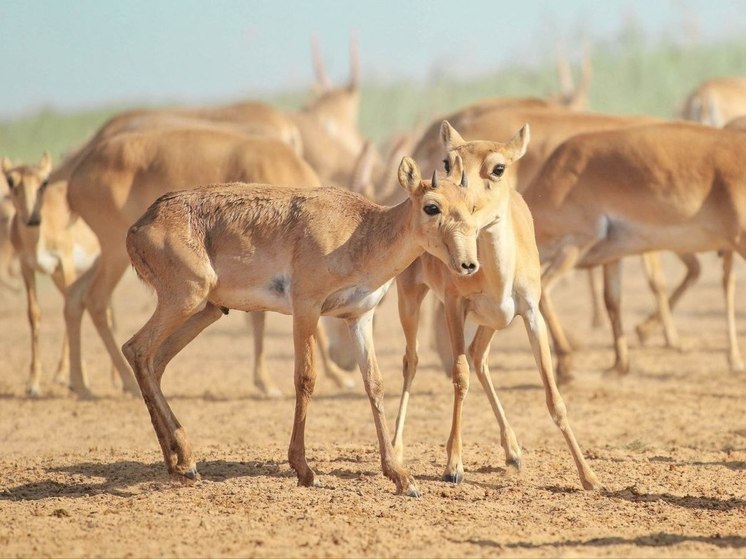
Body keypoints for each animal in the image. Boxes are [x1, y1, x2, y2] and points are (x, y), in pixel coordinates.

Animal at [1, 155, 101, 396]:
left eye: (44, 180)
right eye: (10, 180)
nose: (32, 219)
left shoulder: (66, 262)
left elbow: (70, 306)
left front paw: (73, 377)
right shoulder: (27, 268)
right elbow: (34, 314)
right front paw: (33, 383)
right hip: (58, 275)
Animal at [63, 128, 348, 398]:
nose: (346, 362)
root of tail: (74, 179)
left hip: (114, 258)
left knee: (76, 294)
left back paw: (82, 385)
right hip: (119, 257)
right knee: (99, 301)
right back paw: (124, 384)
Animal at [123, 155, 492, 496]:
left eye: (471, 206)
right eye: (432, 206)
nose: (468, 264)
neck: (362, 231)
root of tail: (138, 226)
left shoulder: (360, 317)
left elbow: (373, 383)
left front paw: (401, 477)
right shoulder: (306, 308)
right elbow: (305, 379)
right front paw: (303, 469)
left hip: (208, 309)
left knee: (156, 361)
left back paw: (178, 462)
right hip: (185, 297)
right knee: (136, 349)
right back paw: (184, 458)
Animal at [390, 122, 600, 490]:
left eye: (498, 168)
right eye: (448, 162)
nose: (459, 210)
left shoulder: (530, 313)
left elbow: (553, 394)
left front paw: (588, 475)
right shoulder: (454, 305)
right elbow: (459, 377)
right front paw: (454, 465)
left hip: (493, 321)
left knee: (478, 356)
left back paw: (513, 452)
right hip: (411, 297)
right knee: (412, 361)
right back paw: (399, 450)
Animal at [520, 122, 746, 380]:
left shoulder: (574, 245)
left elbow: (544, 293)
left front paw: (566, 364)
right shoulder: (612, 258)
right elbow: (612, 301)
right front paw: (619, 365)